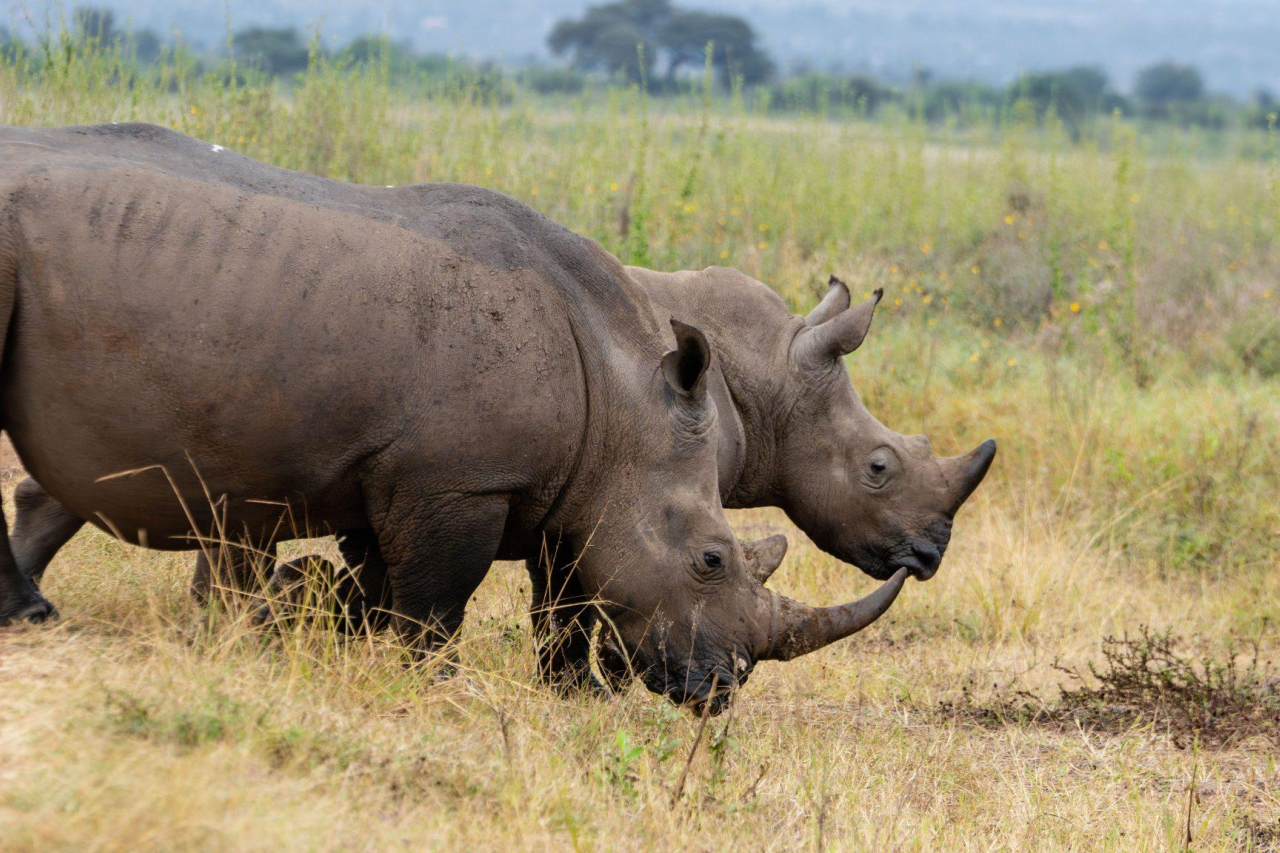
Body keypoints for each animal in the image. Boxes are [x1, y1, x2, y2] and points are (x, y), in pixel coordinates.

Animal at [0, 123, 910, 711]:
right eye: (712, 561)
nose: (724, 687)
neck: (625, 399)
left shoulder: (412, 473)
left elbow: (406, 588)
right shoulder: (459, 480)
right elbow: (437, 600)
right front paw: (428, 685)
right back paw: (33, 616)